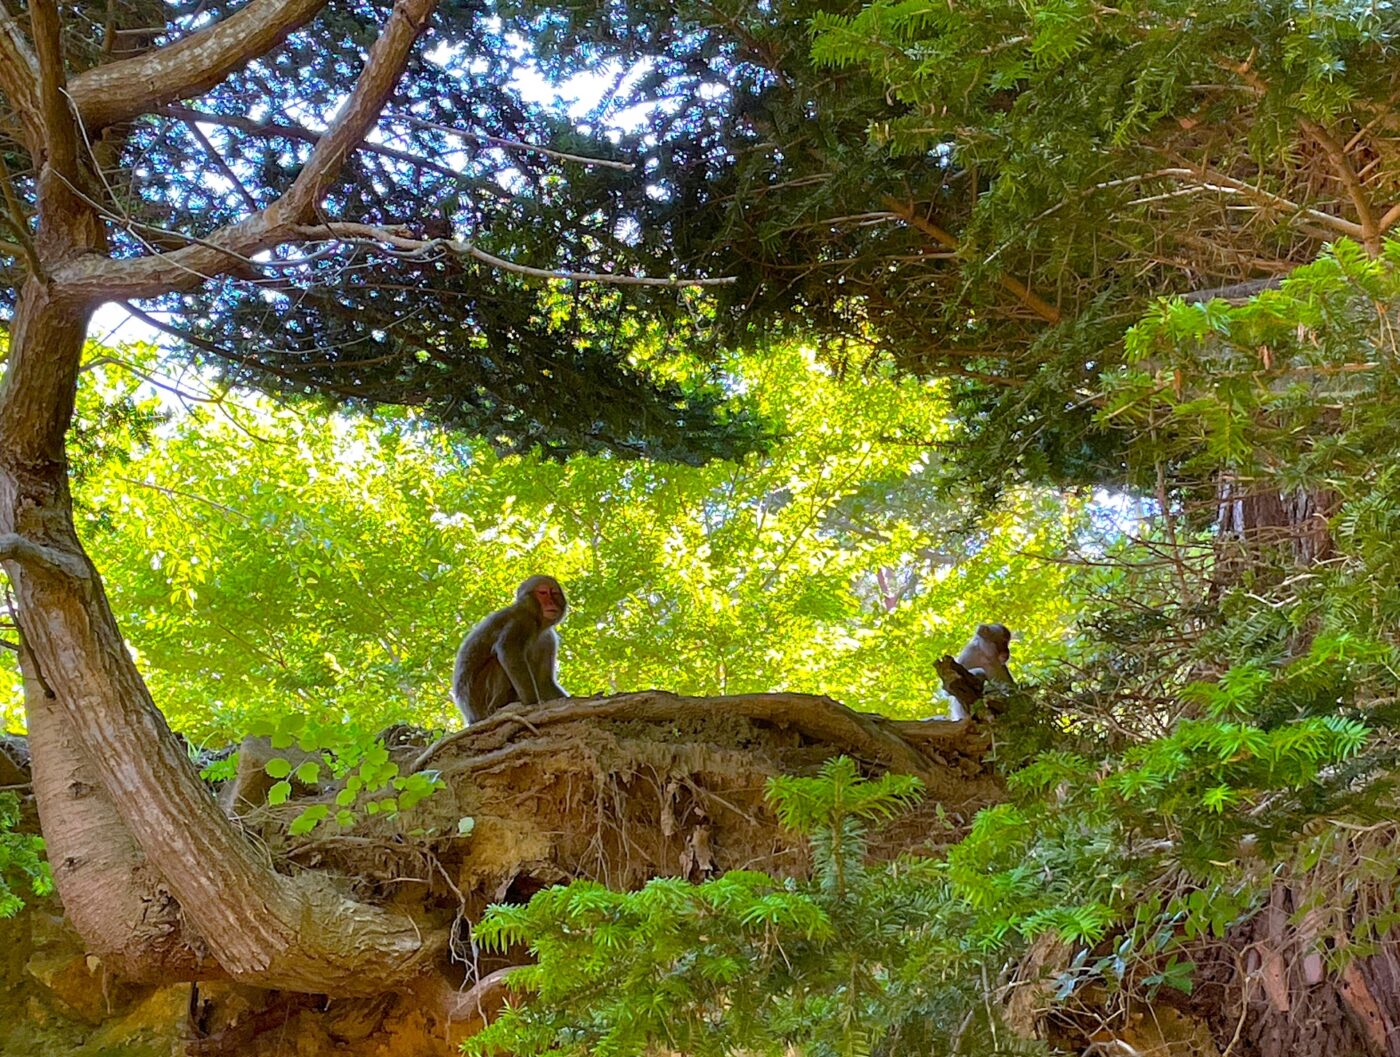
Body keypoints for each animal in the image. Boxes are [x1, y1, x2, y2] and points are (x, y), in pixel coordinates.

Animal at [451, 575, 569, 724]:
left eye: (554, 593)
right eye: (542, 593)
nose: (551, 602)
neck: (538, 624)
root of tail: (471, 717)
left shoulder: (548, 640)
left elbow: (543, 681)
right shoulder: (521, 621)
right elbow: (508, 651)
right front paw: (532, 703)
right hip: (480, 701)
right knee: (498, 661)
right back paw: (497, 706)